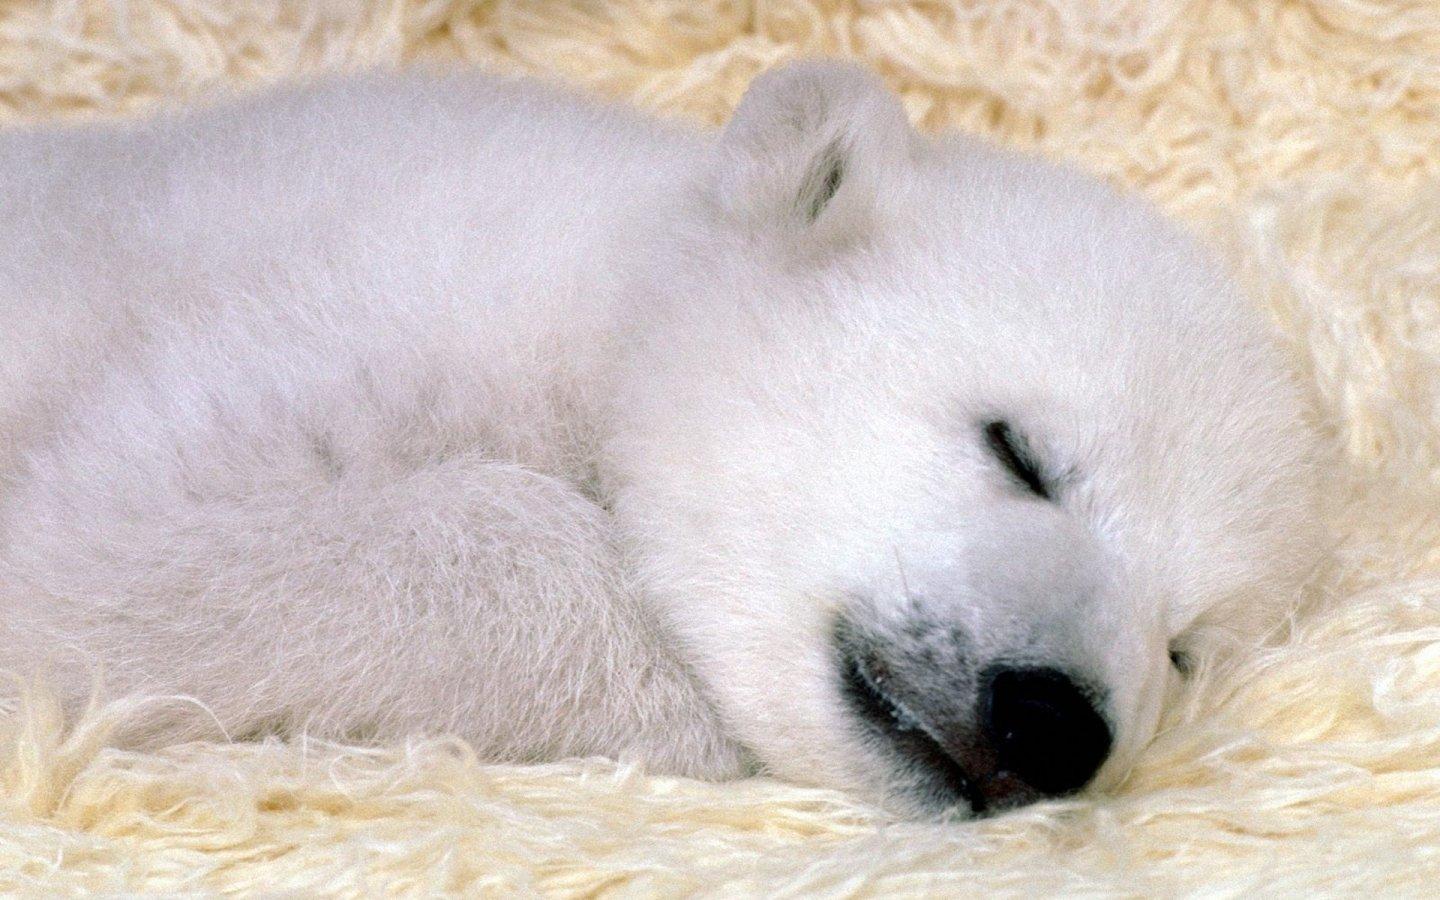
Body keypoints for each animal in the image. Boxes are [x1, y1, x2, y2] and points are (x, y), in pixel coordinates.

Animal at [0, 60, 1321, 815]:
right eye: (1020, 451)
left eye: (1185, 645)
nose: (1050, 723)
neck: (613, 278)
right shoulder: (366, 312)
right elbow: (104, 544)